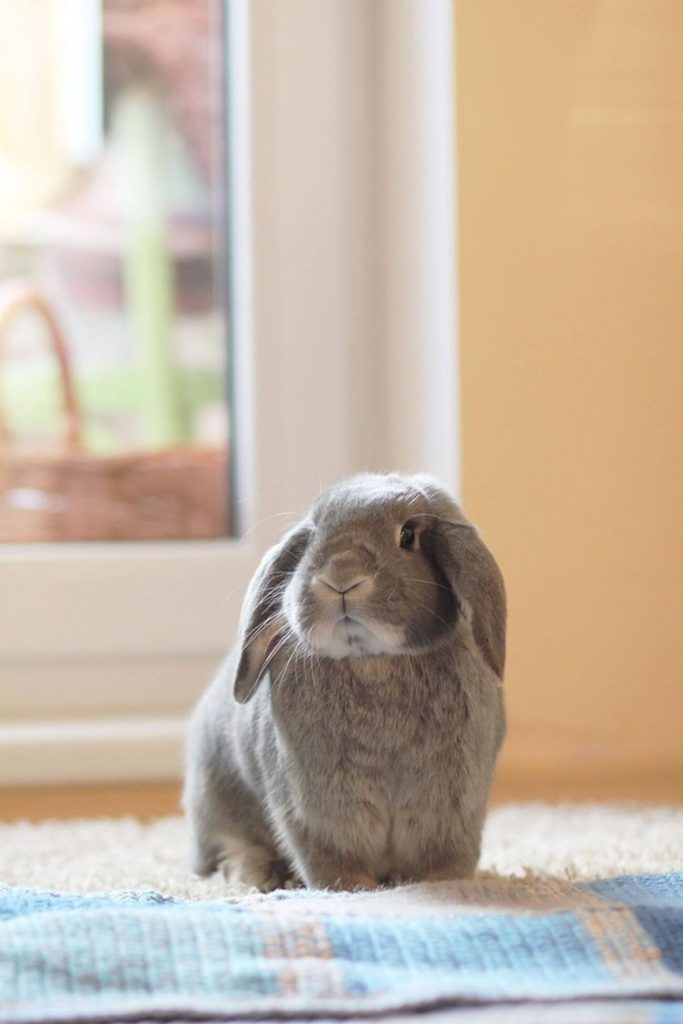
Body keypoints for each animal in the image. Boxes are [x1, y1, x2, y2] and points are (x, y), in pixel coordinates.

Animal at [184, 471, 505, 888]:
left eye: (407, 535)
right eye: (315, 534)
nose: (340, 578)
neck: (373, 660)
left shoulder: (451, 805)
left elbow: (442, 859)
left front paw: (440, 884)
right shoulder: (317, 809)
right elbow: (333, 860)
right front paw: (353, 890)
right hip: (217, 797)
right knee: (230, 845)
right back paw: (257, 877)